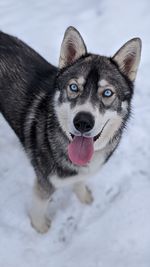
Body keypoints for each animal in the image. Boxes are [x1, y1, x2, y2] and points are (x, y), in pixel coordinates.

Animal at [0, 26, 142, 233]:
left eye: (107, 93)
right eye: (74, 87)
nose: (83, 122)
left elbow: (80, 182)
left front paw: (83, 196)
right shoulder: (45, 183)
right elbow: (39, 206)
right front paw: (40, 227)